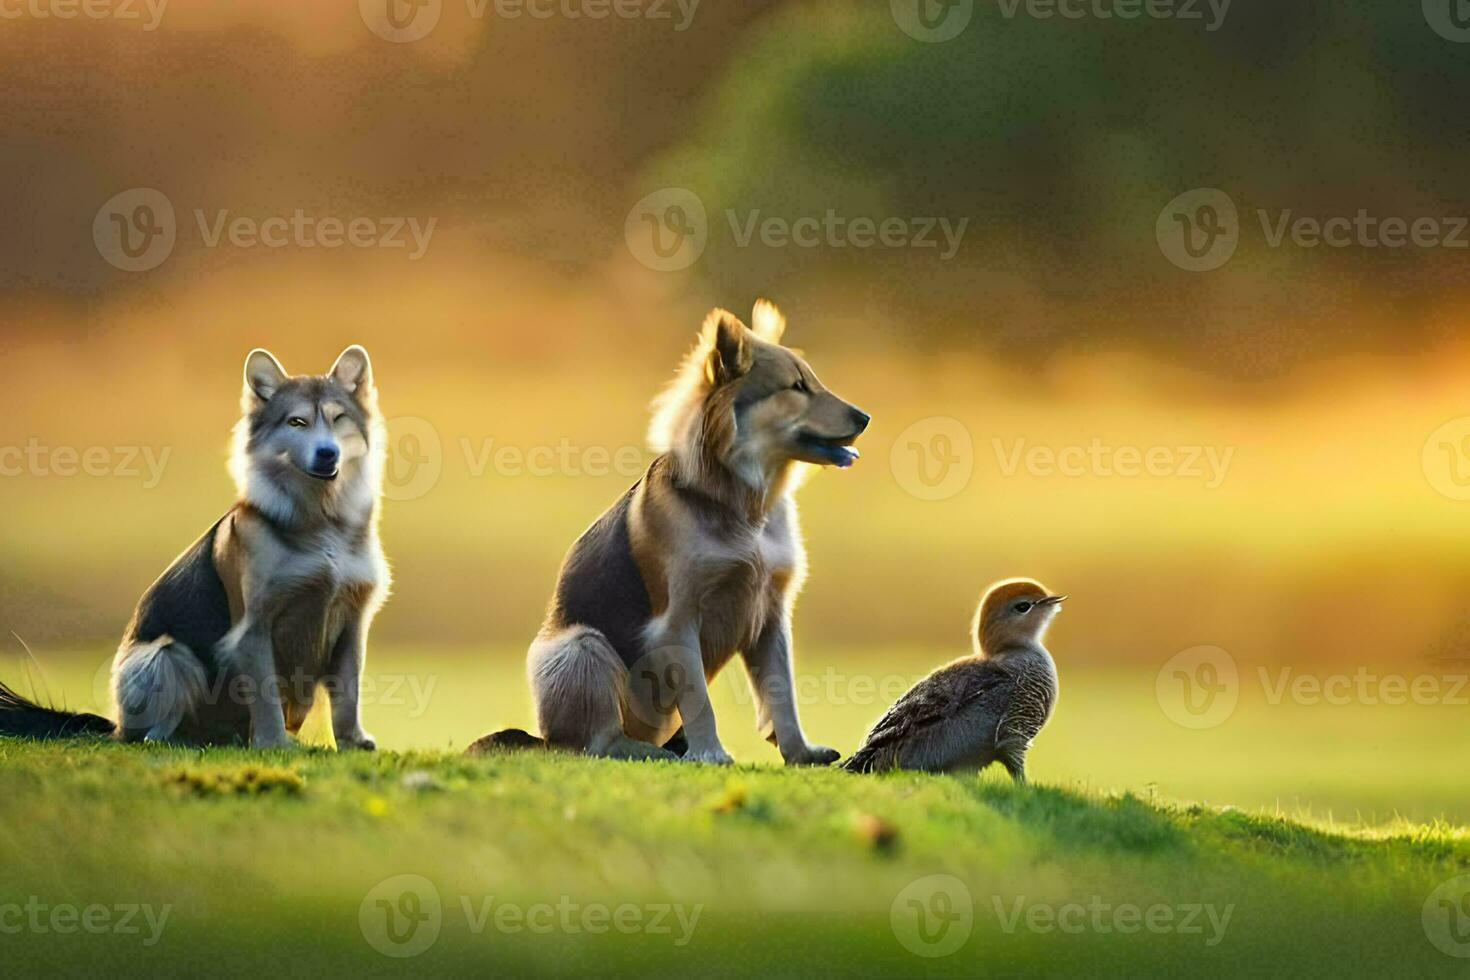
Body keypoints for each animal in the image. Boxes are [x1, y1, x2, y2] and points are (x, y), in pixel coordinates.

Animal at [0, 346, 391, 752]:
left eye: (338, 418)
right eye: (297, 422)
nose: (328, 453)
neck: (321, 521)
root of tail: (115, 723)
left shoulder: (351, 622)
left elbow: (348, 692)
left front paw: (351, 742)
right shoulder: (253, 629)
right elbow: (266, 696)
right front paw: (273, 744)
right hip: (166, 658)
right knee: (148, 732)